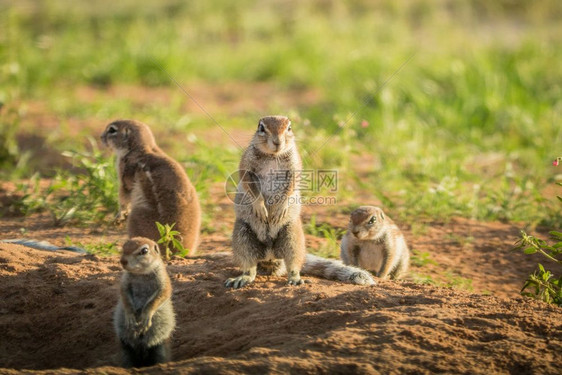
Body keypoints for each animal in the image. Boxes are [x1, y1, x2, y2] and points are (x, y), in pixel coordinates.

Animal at [101, 120, 201, 256]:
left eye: (112, 130)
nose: (101, 137)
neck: (142, 148)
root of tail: (174, 247)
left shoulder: (124, 173)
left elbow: (123, 196)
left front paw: (119, 216)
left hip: (136, 217)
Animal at [112, 238, 174, 368]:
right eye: (124, 246)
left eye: (144, 251)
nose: (123, 261)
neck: (141, 274)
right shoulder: (124, 282)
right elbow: (124, 296)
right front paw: (130, 315)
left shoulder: (163, 282)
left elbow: (158, 298)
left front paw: (146, 315)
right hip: (125, 348)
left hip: (160, 348)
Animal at [225, 116, 374, 290]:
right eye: (261, 128)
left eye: (289, 128)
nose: (277, 142)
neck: (273, 156)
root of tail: (270, 256)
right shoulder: (247, 163)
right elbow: (248, 182)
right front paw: (260, 207)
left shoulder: (294, 165)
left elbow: (292, 184)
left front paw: (280, 208)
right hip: (242, 236)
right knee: (249, 266)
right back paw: (243, 278)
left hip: (292, 235)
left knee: (294, 262)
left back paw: (295, 278)